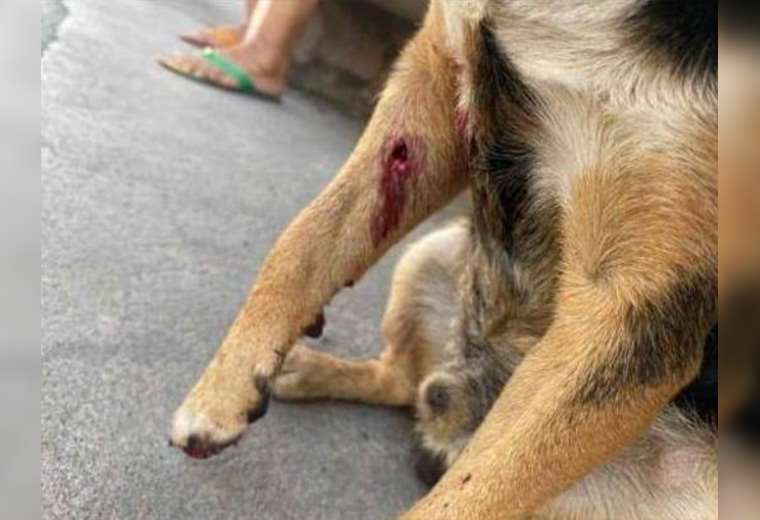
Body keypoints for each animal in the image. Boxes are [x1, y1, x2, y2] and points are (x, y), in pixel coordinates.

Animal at [169, 1, 718, 518]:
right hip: (431, 253)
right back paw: (309, 369)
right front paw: (222, 390)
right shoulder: (430, 88)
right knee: (401, 380)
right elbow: (303, 240)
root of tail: (451, 427)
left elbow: (475, 491)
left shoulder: (633, 306)